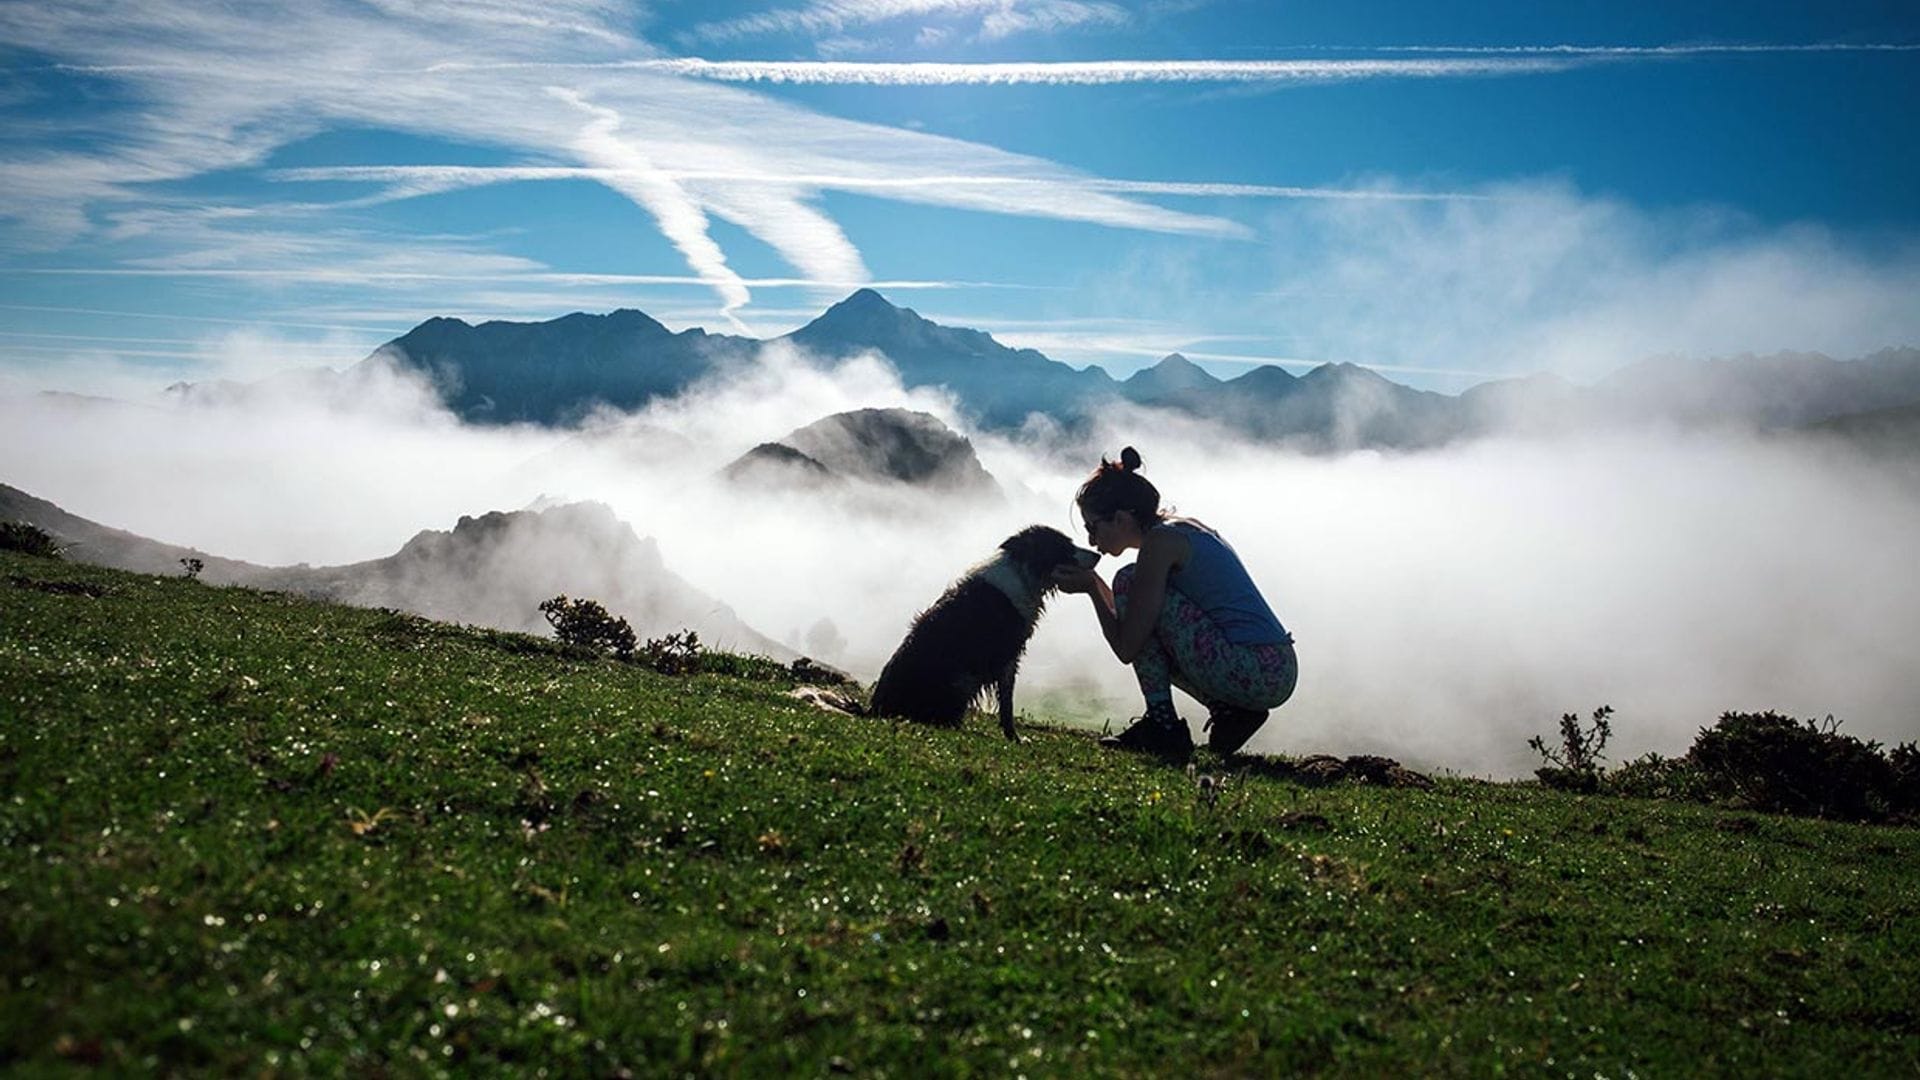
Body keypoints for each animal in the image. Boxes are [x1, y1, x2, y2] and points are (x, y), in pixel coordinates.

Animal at [867, 522, 1098, 737]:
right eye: (1065, 546)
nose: (1097, 555)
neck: (1023, 572)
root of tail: (875, 709)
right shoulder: (1007, 653)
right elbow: (1007, 700)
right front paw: (1012, 736)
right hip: (961, 679)